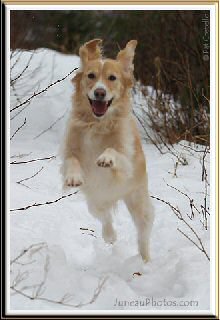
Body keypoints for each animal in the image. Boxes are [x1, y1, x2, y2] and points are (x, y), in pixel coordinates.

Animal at [61, 38, 155, 262]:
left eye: (112, 78)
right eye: (91, 76)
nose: (100, 92)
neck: (97, 123)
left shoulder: (127, 159)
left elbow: (114, 151)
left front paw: (105, 158)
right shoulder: (69, 148)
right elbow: (72, 159)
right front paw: (73, 177)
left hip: (138, 201)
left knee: (143, 234)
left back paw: (145, 261)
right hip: (95, 201)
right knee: (105, 218)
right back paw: (110, 236)